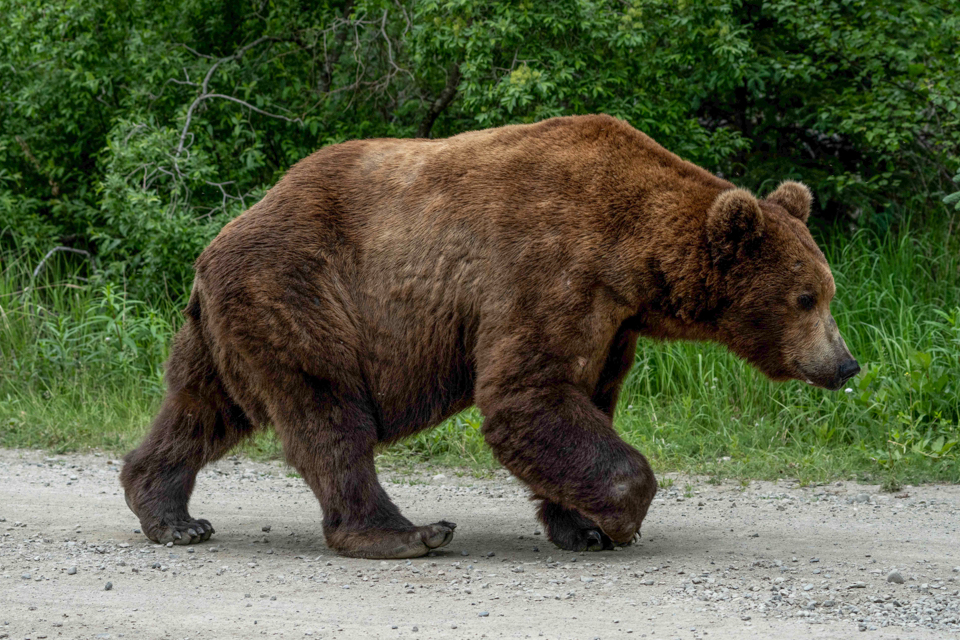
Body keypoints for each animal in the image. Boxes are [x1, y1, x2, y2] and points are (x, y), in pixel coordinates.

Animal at [120, 114, 859, 558]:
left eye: (827, 290)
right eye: (805, 297)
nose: (846, 363)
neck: (631, 256)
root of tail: (214, 245)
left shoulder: (612, 322)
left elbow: (584, 402)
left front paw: (578, 524)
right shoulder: (546, 270)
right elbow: (525, 396)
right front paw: (619, 518)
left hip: (224, 328)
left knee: (200, 410)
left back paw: (171, 514)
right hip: (300, 297)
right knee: (327, 414)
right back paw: (407, 532)